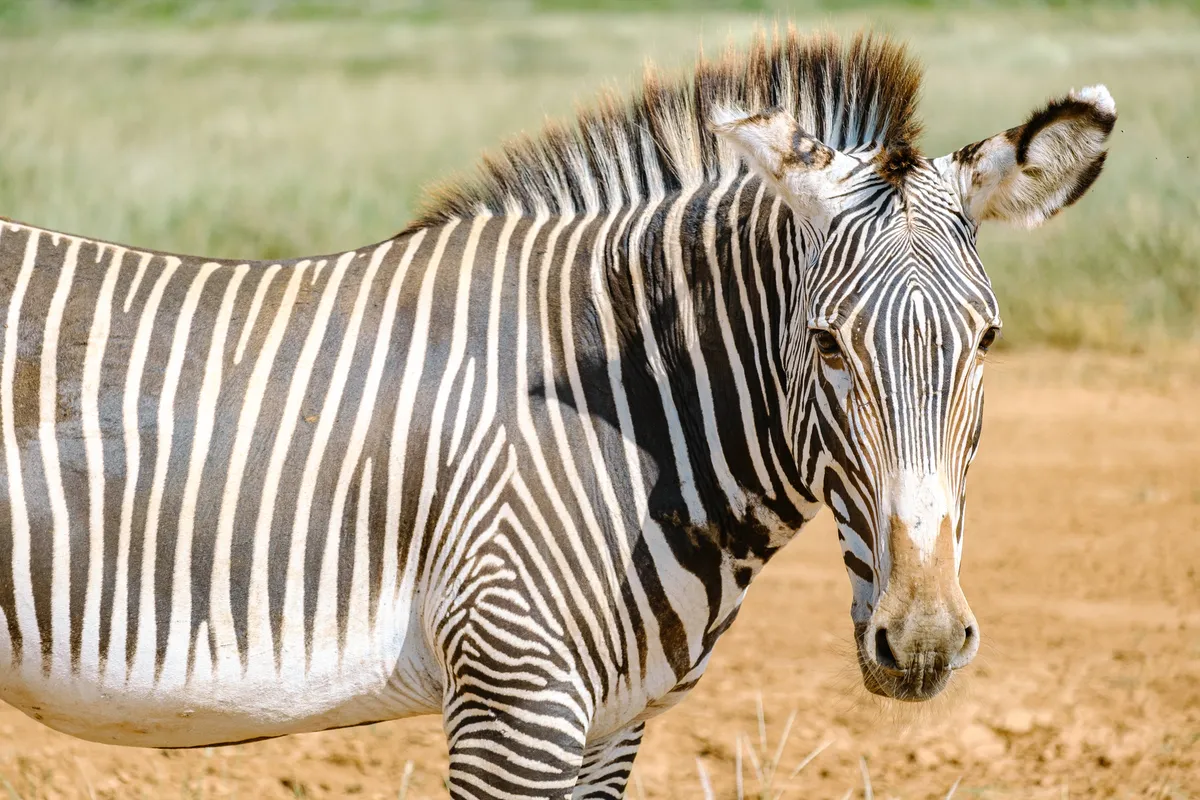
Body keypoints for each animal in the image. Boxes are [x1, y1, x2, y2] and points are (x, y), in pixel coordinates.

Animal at [0, 28, 1108, 796]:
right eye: (827, 343)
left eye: (987, 342)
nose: (922, 640)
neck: (630, 421)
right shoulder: (514, 699)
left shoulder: (610, 722)